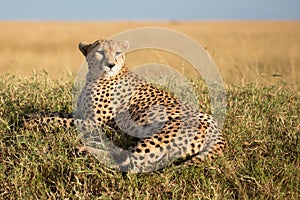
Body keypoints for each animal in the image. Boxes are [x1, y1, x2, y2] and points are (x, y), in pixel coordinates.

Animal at [25, 38, 225, 172]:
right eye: (100, 52)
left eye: (117, 53)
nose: (110, 65)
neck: (96, 76)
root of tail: (215, 125)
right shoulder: (83, 115)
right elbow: (56, 114)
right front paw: (33, 115)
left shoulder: (96, 123)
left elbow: (59, 121)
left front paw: (32, 123)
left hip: (160, 135)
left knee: (133, 163)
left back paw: (86, 151)